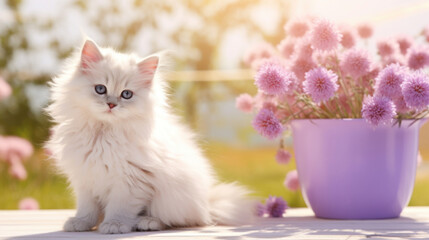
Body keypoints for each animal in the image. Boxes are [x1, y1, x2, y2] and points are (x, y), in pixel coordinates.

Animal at [46, 40, 254, 233]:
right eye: (100, 89)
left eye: (126, 94)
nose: (111, 104)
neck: (103, 134)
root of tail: (207, 206)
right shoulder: (85, 177)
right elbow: (87, 208)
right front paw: (81, 223)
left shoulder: (130, 181)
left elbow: (119, 207)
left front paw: (114, 225)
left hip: (169, 199)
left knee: (176, 220)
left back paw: (146, 222)